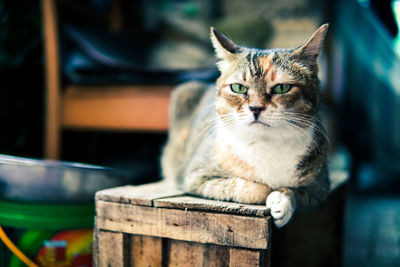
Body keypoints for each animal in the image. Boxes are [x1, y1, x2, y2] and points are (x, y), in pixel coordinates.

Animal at [161, 24, 330, 228]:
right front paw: (267, 191)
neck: (266, 144)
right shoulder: (194, 175)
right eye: (238, 88)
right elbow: (252, 188)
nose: (255, 108)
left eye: (282, 88)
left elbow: (296, 191)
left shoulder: (320, 189)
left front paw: (282, 202)